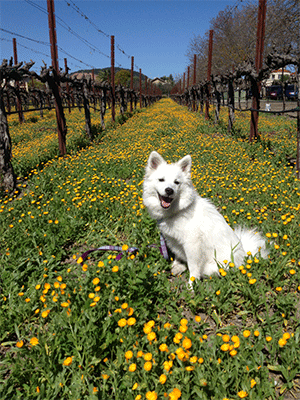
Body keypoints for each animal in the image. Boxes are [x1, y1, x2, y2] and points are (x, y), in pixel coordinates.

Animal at [143, 151, 270, 288]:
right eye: (161, 180)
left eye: (176, 182)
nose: (169, 190)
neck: (177, 211)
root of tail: (244, 253)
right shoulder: (174, 241)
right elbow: (178, 255)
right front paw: (178, 265)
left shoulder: (192, 245)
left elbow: (193, 269)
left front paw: (191, 286)